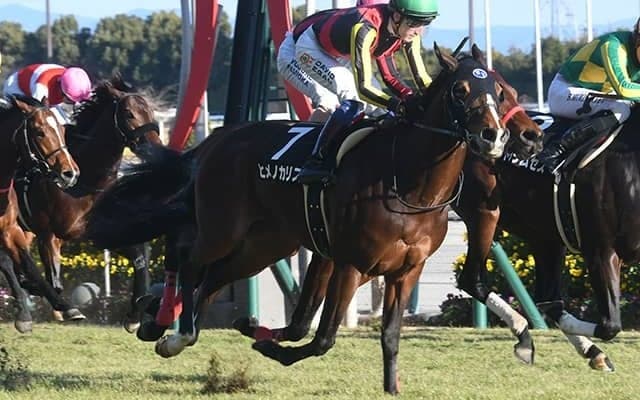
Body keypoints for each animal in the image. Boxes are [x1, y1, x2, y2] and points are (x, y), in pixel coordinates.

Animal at [0, 95, 80, 333]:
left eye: (62, 129)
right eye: (39, 132)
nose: (70, 173)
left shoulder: (10, 229)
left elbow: (28, 265)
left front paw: (65, 306)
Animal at [14, 75, 162, 332]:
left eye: (150, 111)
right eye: (129, 114)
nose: (155, 147)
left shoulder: (95, 231)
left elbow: (140, 257)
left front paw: (135, 315)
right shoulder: (49, 233)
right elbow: (52, 279)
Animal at [87, 44, 513, 394]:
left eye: (499, 90)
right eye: (460, 90)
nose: (493, 136)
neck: (410, 186)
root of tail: (215, 141)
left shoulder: (406, 270)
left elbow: (389, 335)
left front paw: (392, 388)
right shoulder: (351, 262)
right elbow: (323, 337)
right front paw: (268, 345)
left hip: (264, 244)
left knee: (214, 276)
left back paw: (171, 330)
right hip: (223, 228)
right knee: (189, 260)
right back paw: (174, 331)